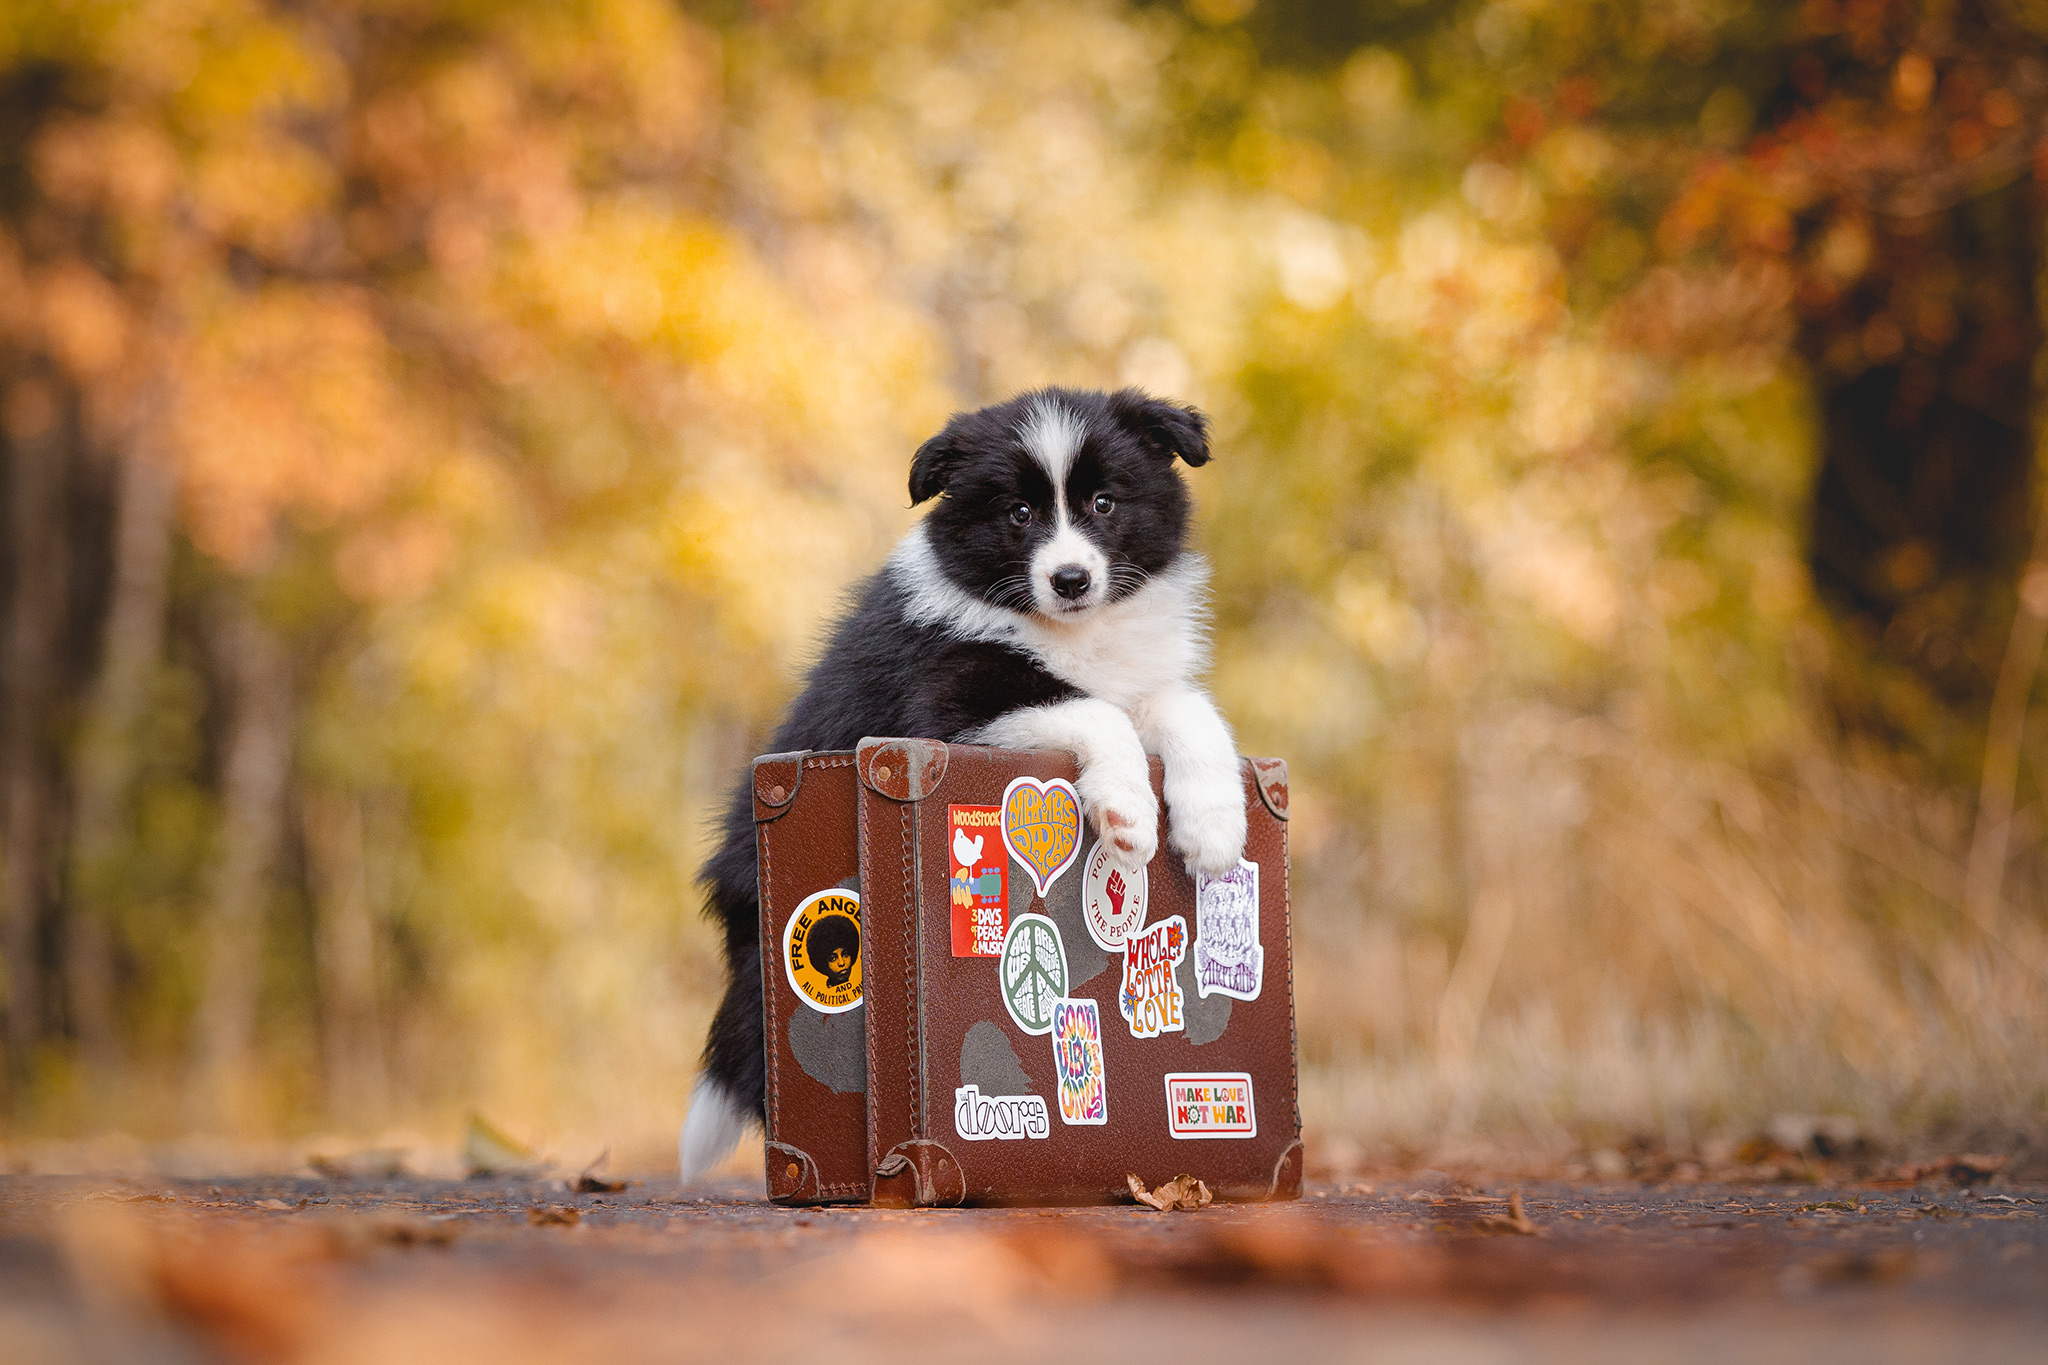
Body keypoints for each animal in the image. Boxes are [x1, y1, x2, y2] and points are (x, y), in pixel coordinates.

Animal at [679, 386, 1236, 1186]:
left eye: (1104, 502)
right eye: (1018, 514)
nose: (1071, 580)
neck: (1072, 633)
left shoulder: (1138, 676)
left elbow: (1185, 706)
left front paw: (1217, 827)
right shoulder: (948, 703)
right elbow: (1091, 707)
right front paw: (1127, 812)